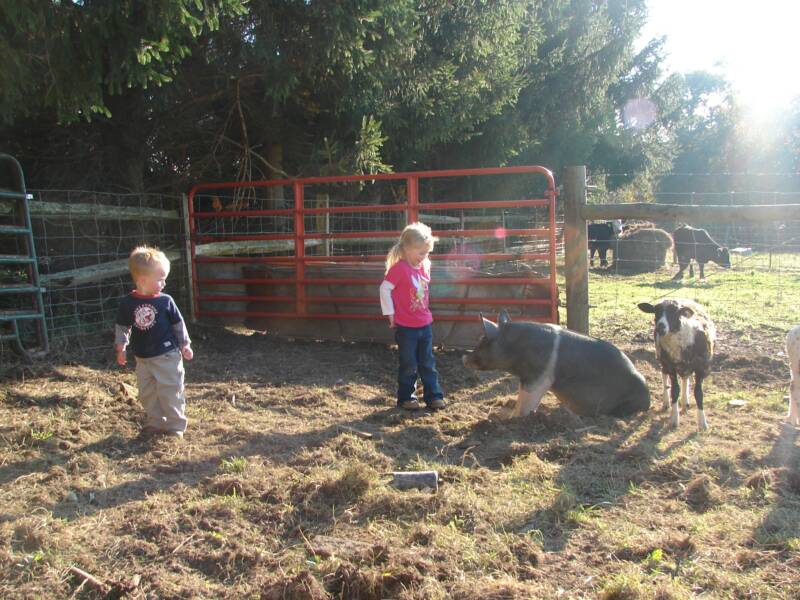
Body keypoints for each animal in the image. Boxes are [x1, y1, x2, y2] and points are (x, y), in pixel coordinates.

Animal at [462, 310, 648, 418]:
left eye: (482, 341)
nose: (463, 357)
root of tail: (649, 398)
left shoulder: (539, 378)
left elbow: (527, 402)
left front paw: (514, 419)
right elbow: (520, 398)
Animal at [636, 298, 720, 428]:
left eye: (674, 312)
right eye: (656, 311)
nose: (660, 327)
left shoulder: (701, 368)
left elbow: (699, 393)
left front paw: (702, 422)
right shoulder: (671, 366)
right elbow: (674, 391)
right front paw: (674, 418)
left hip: (685, 364)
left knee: (685, 378)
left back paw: (685, 402)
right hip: (662, 356)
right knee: (664, 374)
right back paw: (666, 402)